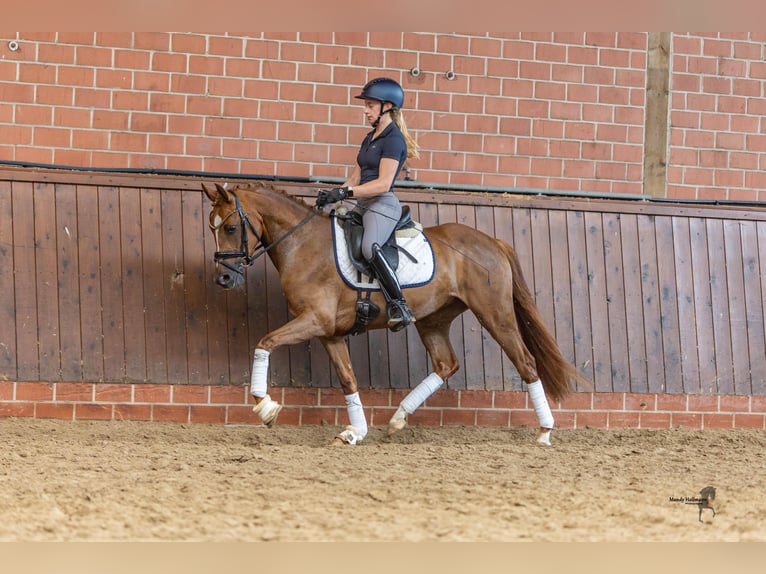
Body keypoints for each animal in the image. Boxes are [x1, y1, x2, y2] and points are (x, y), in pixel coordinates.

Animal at [202, 182, 588, 448]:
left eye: (231, 227)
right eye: (211, 227)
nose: (223, 279)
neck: (304, 245)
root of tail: (492, 242)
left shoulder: (316, 320)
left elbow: (264, 342)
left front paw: (265, 407)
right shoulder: (330, 332)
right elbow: (348, 379)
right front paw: (354, 432)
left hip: (495, 314)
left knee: (525, 362)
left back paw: (545, 432)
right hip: (434, 319)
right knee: (446, 364)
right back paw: (399, 417)